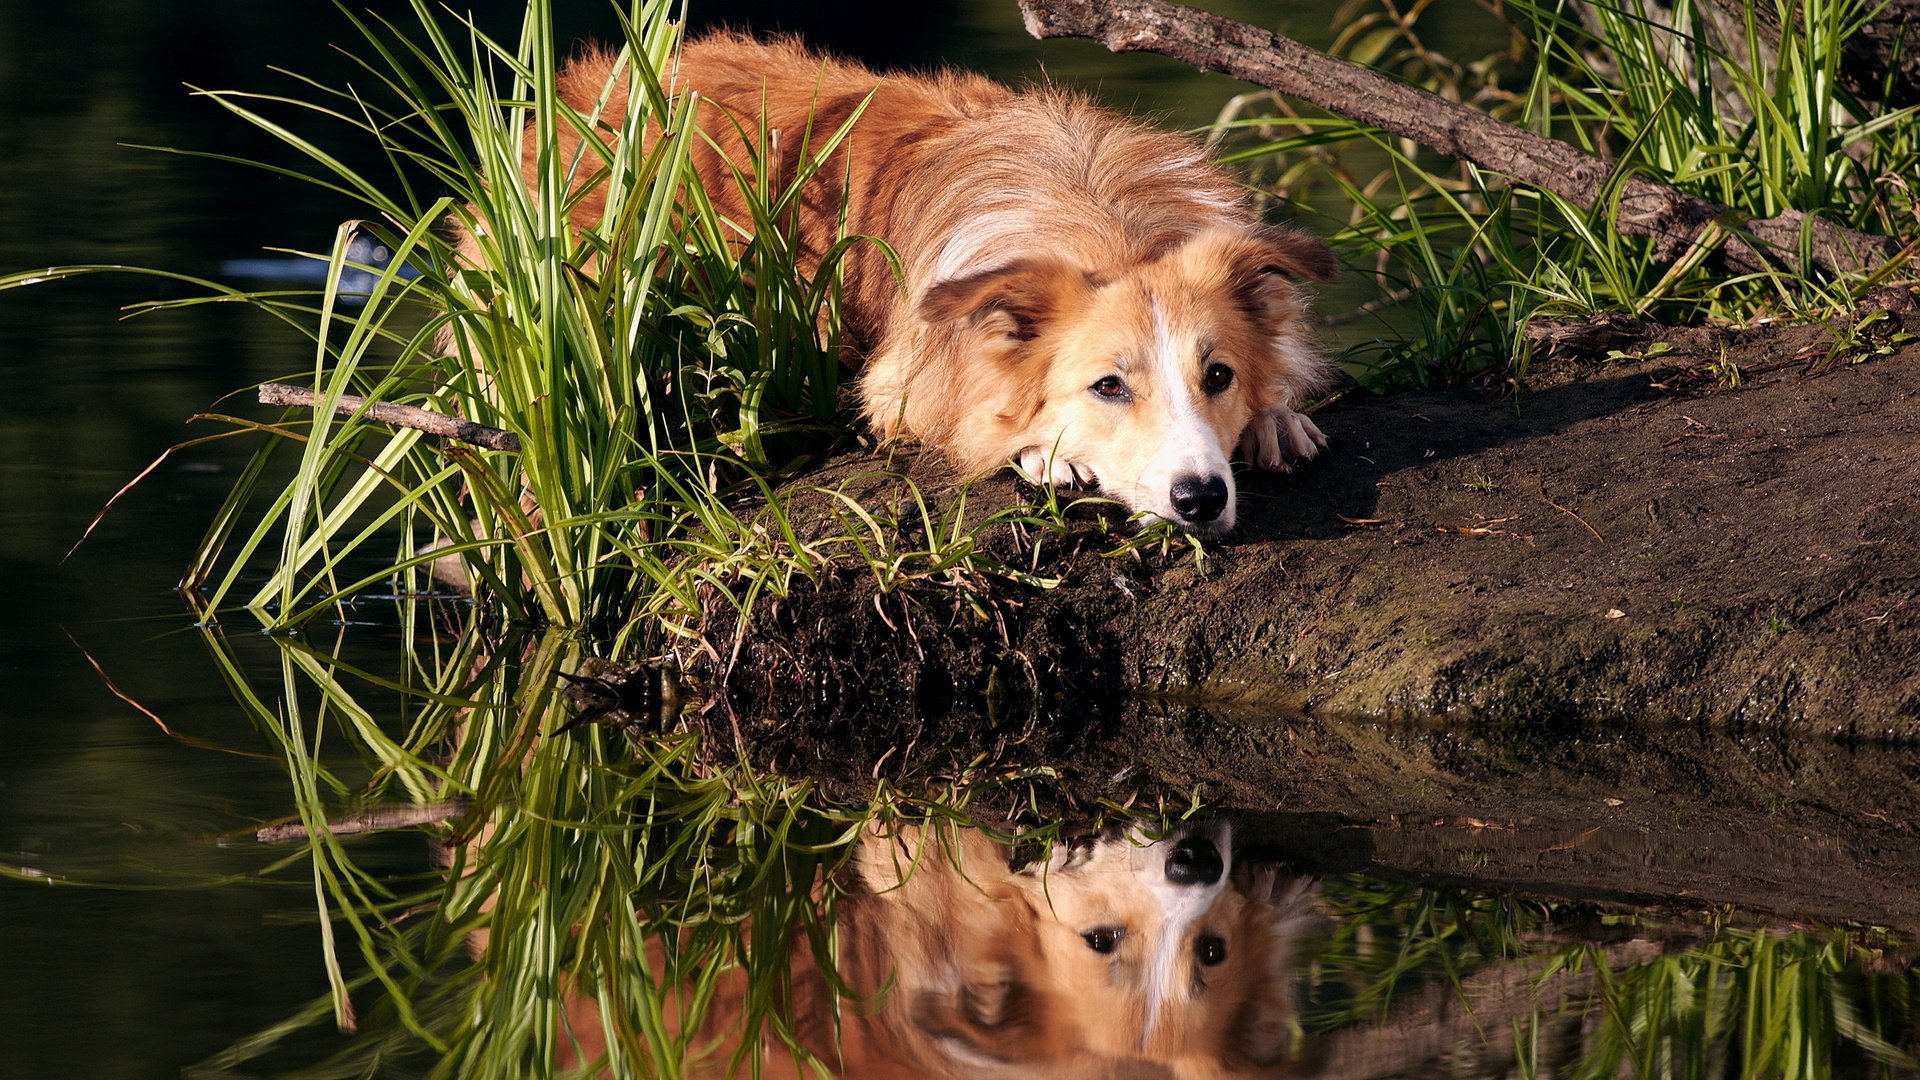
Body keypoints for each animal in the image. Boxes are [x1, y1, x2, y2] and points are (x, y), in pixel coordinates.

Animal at [518, 37, 1344, 530]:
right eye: (1107, 387)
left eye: (1219, 375)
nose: (1201, 499)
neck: (1104, 220)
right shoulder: (900, 387)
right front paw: (1052, 454)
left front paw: (1275, 415)